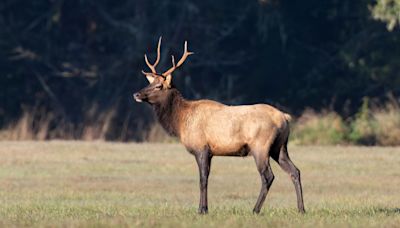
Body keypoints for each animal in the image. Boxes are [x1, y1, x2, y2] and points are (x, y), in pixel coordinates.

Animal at [133, 37, 304, 214]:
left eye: (159, 86)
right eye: (150, 83)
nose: (136, 94)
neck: (181, 121)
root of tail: (284, 117)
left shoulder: (201, 147)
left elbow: (202, 179)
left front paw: (202, 210)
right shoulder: (210, 152)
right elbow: (206, 178)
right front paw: (204, 208)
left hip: (261, 146)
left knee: (268, 176)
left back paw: (255, 209)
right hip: (280, 147)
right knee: (295, 171)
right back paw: (301, 209)